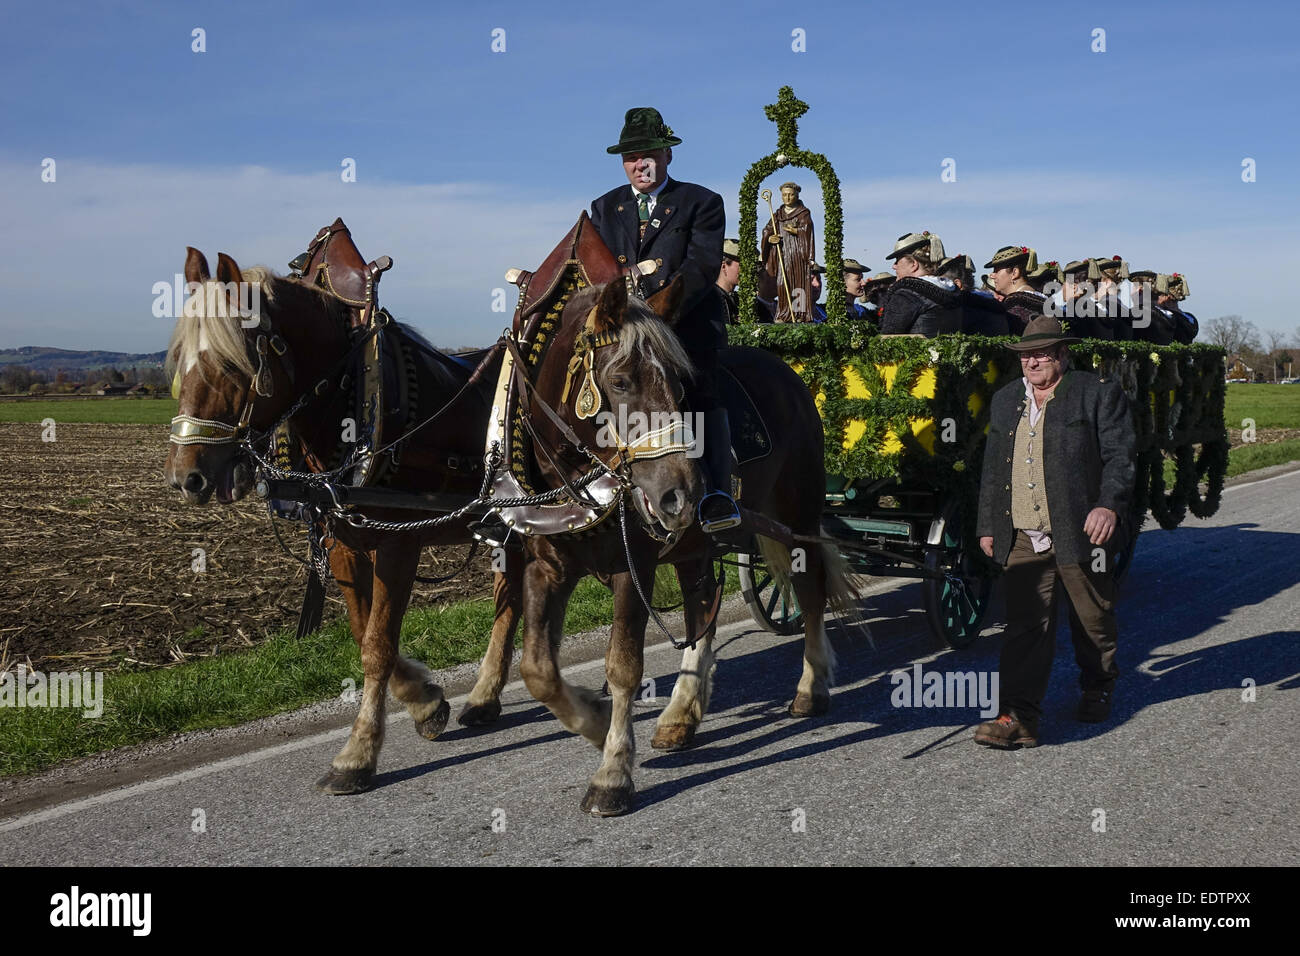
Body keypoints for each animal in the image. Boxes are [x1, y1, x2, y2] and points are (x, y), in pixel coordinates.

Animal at [163, 244, 522, 790]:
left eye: (231, 362)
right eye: (180, 359)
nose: (189, 477)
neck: (349, 397)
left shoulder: (399, 541)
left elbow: (378, 642)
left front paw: (358, 753)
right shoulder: (344, 540)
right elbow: (361, 631)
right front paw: (424, 701)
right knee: (512, 598)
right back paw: (485, 697)